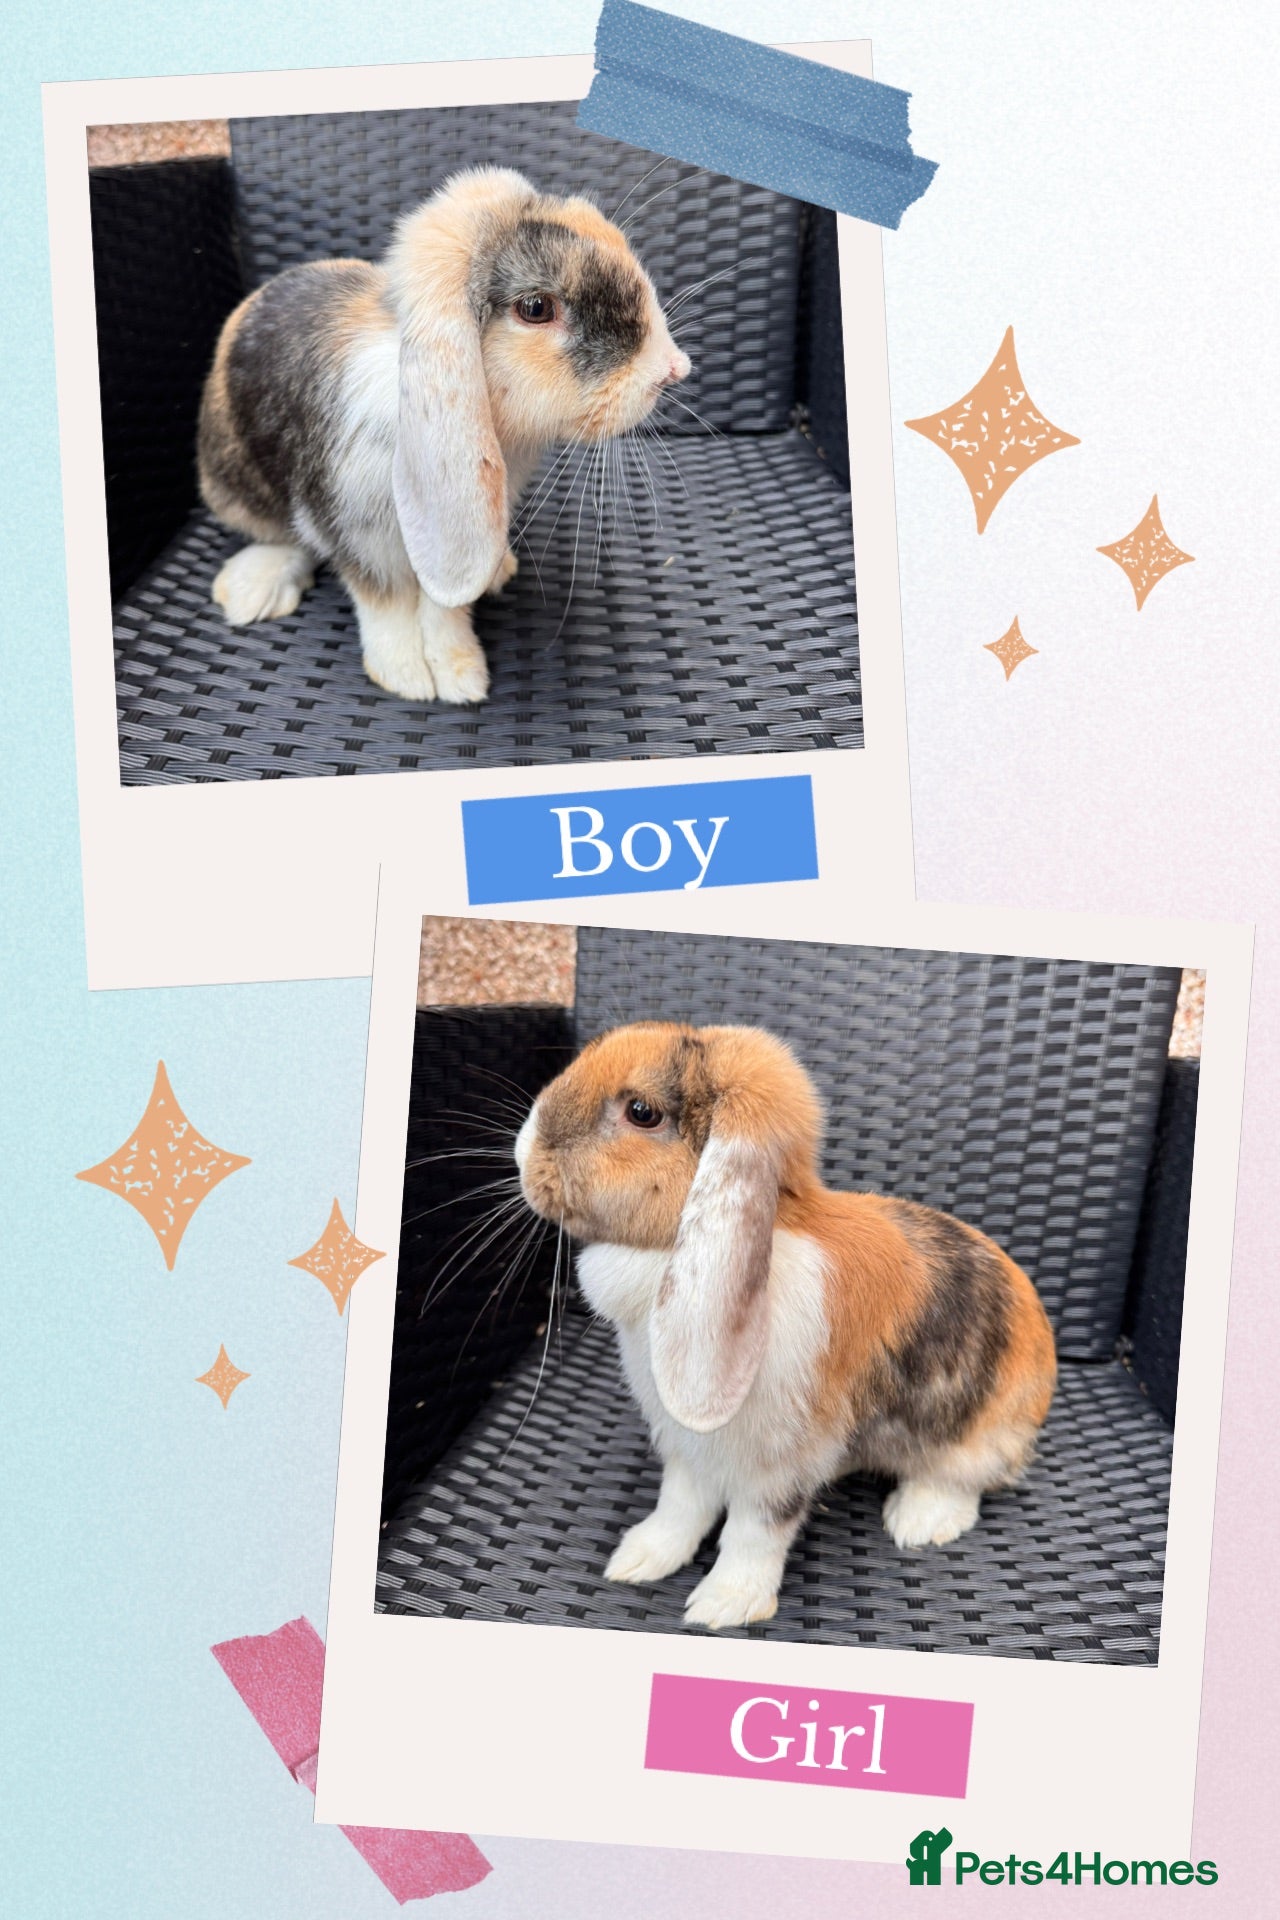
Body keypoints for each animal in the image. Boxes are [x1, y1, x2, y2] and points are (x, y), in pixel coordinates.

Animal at [197, 166, 691, 704]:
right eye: (536, 308)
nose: (672, 370)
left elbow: (444, 607)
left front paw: (460, 673)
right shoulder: (358, 530)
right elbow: (386, 603)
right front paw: (407, 677)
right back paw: (251, 591)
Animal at [515, 1021, 1057, 1632]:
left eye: (641, 1111)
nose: (523, 1151)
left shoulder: (778, 1466)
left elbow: (755, 1533)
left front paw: (725, 1605)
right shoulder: (688, 1449)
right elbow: (680, 1505)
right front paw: (641, 1559)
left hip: (977, 1437)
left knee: (963, 1480)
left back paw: (918, 1521)